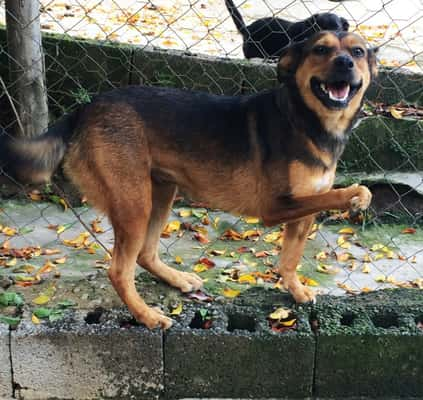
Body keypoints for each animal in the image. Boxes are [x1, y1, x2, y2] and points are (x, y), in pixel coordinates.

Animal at [0, 32, 378, 328]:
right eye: (320, 49)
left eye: (358, 51)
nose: (345, 62)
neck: (307, 120)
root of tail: (85, 109)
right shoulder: (276, 207)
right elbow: (345, 194)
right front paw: (358, 196)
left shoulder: (302, 210)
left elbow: (290, 259)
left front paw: (296, 291)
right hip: (134, 202)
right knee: (119, 271)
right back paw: (147, 316)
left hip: (161, 192)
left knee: (145, 255)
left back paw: (177, 280)